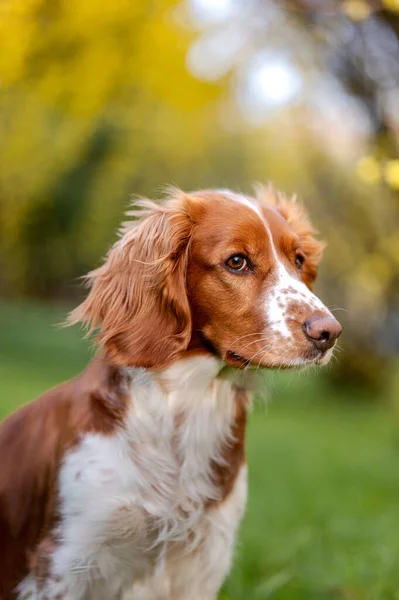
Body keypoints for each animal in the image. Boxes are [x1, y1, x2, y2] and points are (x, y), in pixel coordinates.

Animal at [0, 185, 344, 596]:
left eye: (298, 259)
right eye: (237, 261)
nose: (329, 332)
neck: (187, 406)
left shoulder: (207, 556)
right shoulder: (65, 561)